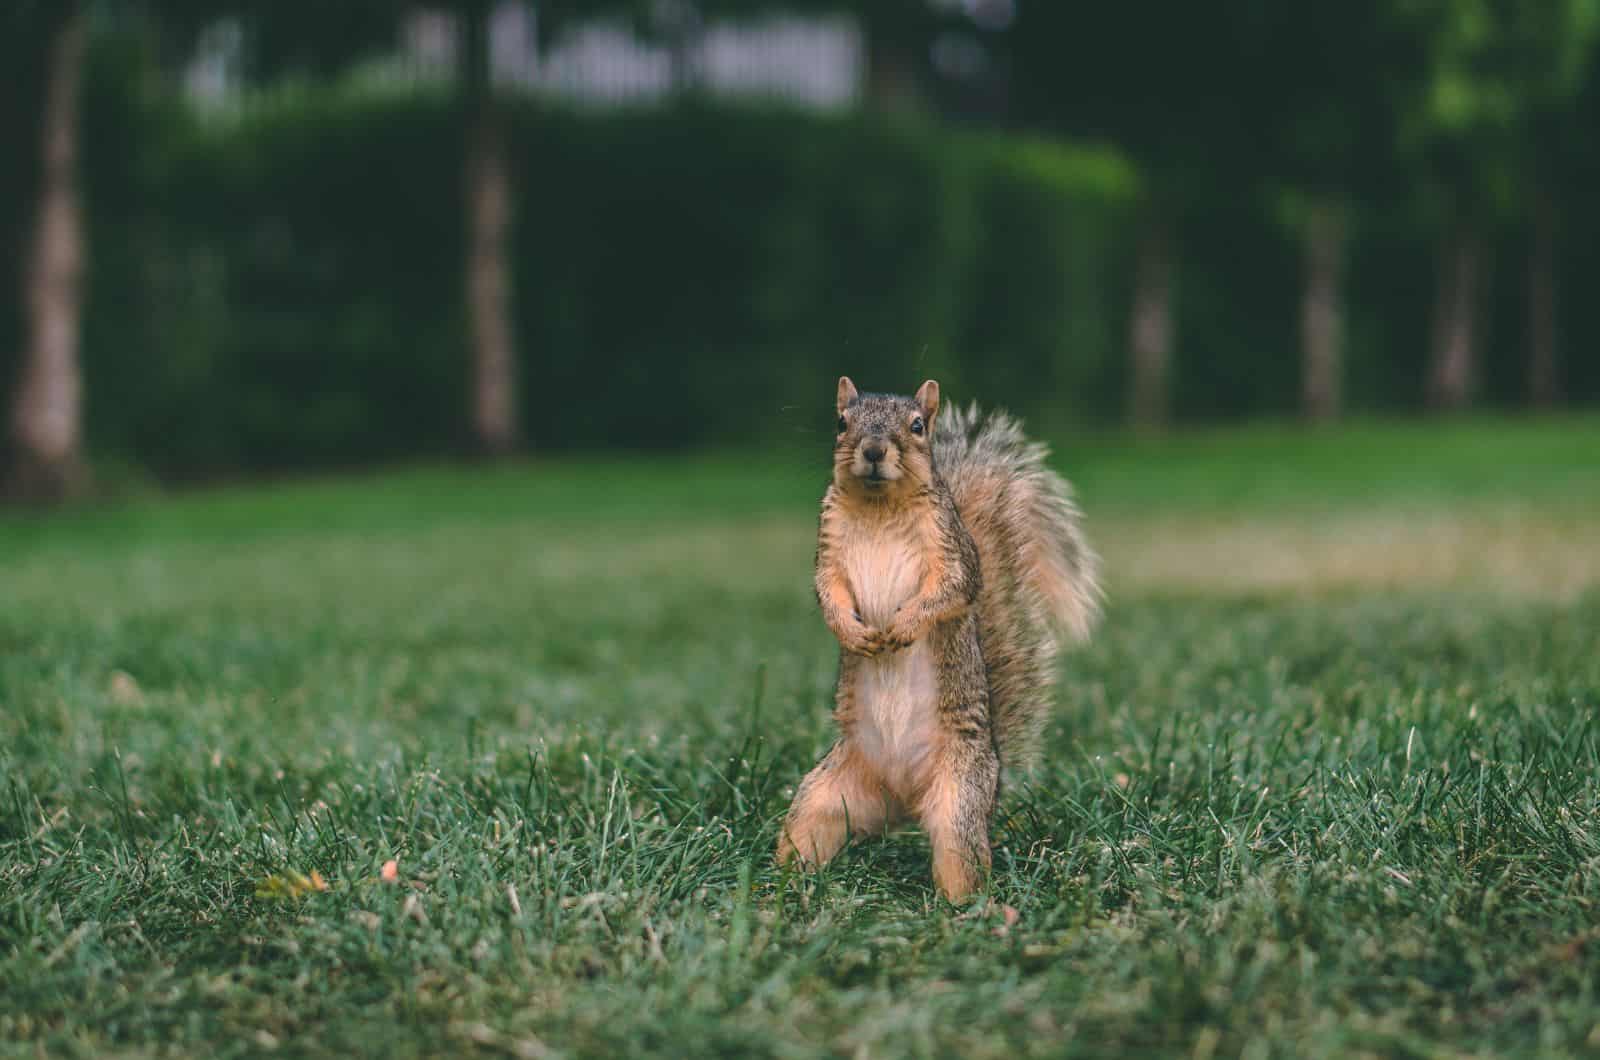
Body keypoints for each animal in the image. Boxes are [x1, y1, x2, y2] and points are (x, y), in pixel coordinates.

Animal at [774, 377, 1100, 903]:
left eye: (917, 426)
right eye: (841, 422)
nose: (873, 450)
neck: (879, 505)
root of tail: (903, 799)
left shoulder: (952, 550)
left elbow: (952, 589)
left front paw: (903, 626)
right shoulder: (828, 550)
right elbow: (828, 592)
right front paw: (853, 632)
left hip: (959, 796)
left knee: (960, 854)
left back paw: (963, 908)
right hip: (825, 795)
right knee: (806, 828)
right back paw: (776, 886)